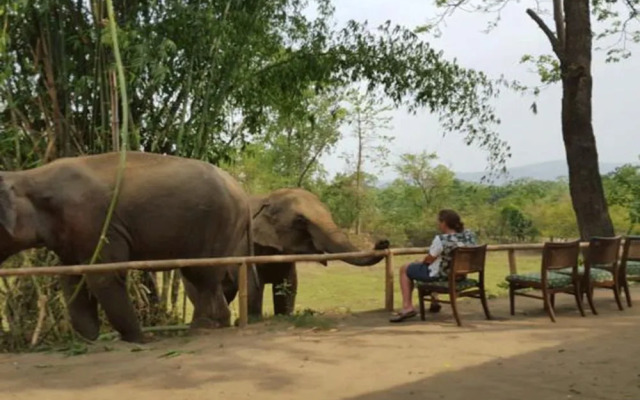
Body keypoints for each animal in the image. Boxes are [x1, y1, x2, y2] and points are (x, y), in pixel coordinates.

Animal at [0, 151, 255, 343]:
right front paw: (88, 340)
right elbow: (71, 278)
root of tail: (243, 193)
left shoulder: (96, 222)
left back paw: (200, 328)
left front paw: (140, 340)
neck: (29, 177)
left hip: (218, 225)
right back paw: (214, 325)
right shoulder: (69, 236)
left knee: (202, 275)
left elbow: (104, 275)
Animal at [220, 188, 389, 318]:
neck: (267, 197)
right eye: (301, 220)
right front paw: (255, 320)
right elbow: (253, 289)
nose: (383, 242)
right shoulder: (247, 248)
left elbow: (289, 286)